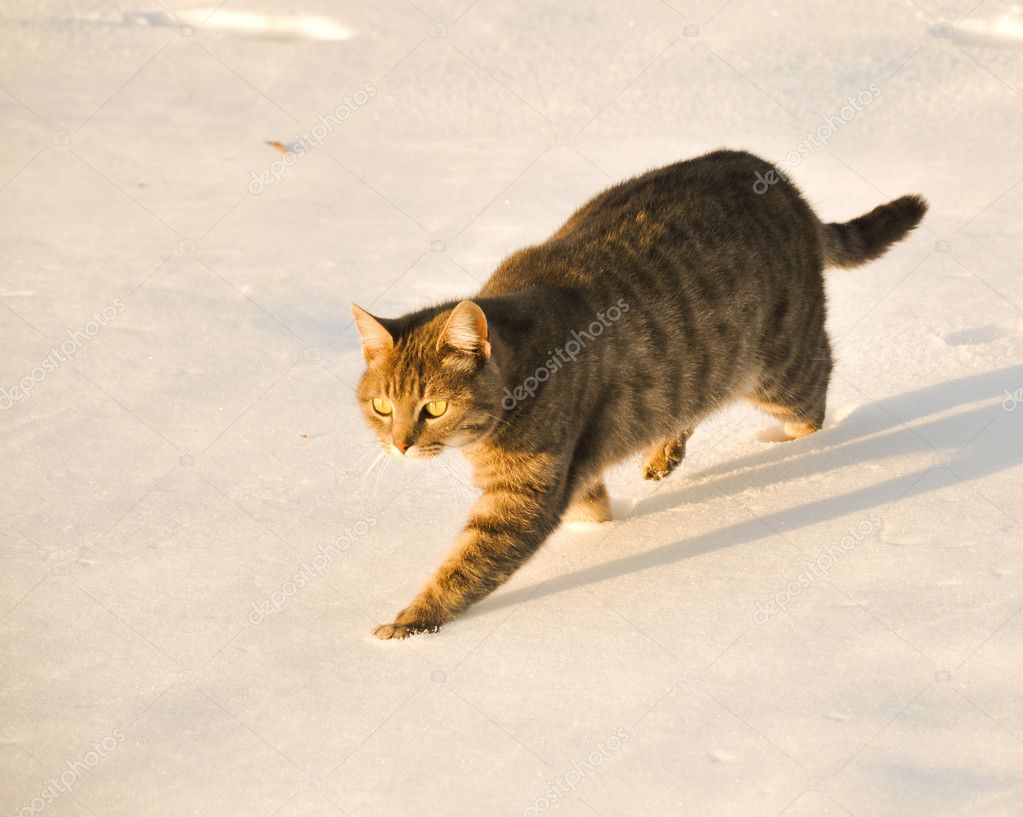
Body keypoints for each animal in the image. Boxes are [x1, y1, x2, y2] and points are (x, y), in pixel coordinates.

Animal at [351, 148, 928, 638]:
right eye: (382, 406)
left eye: (435, 407)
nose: (399, 445)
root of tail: (784, 185)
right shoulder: (572, 474)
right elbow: (592, 509)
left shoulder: (524, 496)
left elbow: (467, 565)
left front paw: (412, 621)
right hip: (699, 373)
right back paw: (664, 452)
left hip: (781, 368)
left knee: (816, 393)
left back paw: (800, 448)